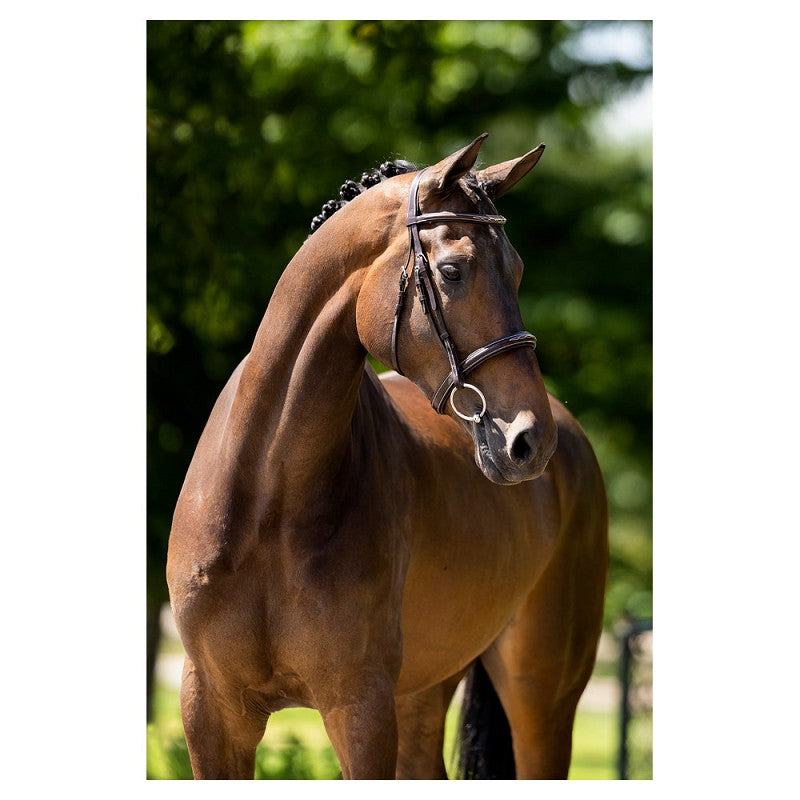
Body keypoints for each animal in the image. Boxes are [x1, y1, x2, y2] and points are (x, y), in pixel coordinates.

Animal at [167, 134, 608, 780]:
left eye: (519, 271)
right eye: (452, 271)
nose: (530, 441)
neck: (268, 499)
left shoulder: (361, 710)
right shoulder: (212, 712)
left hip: (541, 700)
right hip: (423, 692)